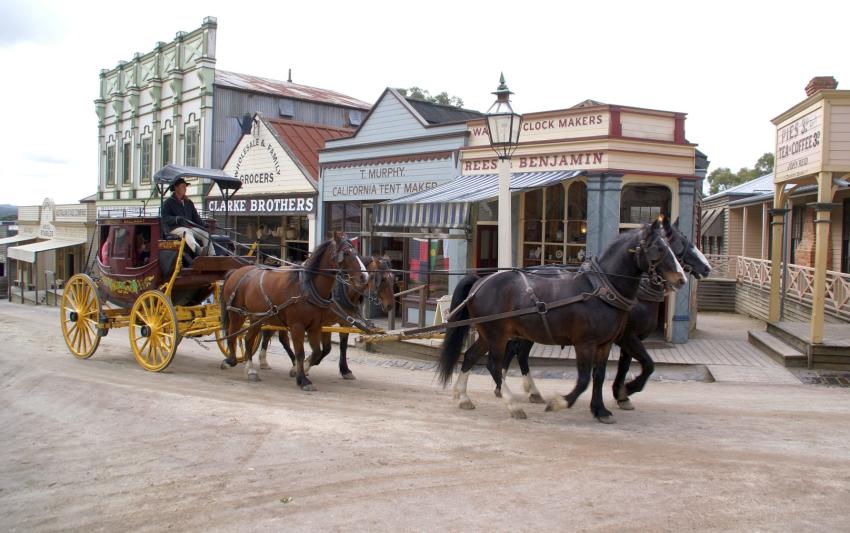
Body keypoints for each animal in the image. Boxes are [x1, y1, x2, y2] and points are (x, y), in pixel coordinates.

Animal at [219, 233, 364, 390]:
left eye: (356, 252)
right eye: (347, 253)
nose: (364, 277)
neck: (306, 288)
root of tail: (236, 271)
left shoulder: (315, 327)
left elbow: (317, 351)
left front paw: (300, 370)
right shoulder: (297, 326)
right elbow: (300, 352)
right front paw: (303, 379)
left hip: (256, 317)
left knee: (248, 339)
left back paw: (250, 370)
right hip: (237, 314)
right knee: (232, 335)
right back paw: (231, 361)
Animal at [255, 254, 398, 378]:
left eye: (393, 279)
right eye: (383, 279)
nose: (390, 305)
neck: (342, 290)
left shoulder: (344, 322)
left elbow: (342, 346)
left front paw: (345, 370)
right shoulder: (324, 323)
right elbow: (327, 349)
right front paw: (306, 366)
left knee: (278, 337)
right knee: (271, 334)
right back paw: (270, 361)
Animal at [438, 218, 684, 422]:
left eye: (672, 248)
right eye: (659, 249)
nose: (681, 278)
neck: (601, 290)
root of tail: (480, 283)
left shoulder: (605, 344)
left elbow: (599, 376)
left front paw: (601, 409)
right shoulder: (586, 343)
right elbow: (583, 379)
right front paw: (560, 403)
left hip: (488, 334)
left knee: (471, 356)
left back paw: (463, 397)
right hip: (497, 335)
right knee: (493, 365)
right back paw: (513, 405)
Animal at [486, 218, 712, 410]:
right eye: (681, 243)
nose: (706, 268)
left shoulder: (621, 338)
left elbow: (625, 365)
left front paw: (620, 394)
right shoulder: (627, 336)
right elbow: (647, 364)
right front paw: (626, 390)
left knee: (519, 352)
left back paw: (524, 390)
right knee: (514, 350)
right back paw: (504, 386)